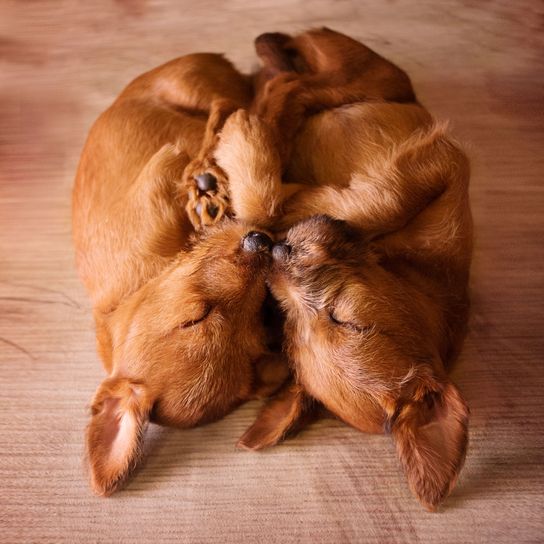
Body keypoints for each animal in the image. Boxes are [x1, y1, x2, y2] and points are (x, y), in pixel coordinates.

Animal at [72, 53, 288, 496]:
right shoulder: (164, 168)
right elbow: (259, 203)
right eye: (196, 317)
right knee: (236, 99)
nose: (258, 244)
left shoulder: (166, 168)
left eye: (257, 324)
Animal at [216, 28, 472, 510]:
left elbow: (294, 204)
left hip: (361, 79)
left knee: (290, 85)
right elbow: (369, 201)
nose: (277, 253)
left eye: (345, 321)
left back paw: (255, 119)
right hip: (363, 78)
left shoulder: (444, 163)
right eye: (289, 326)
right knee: (293, 84)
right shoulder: (443, 165)